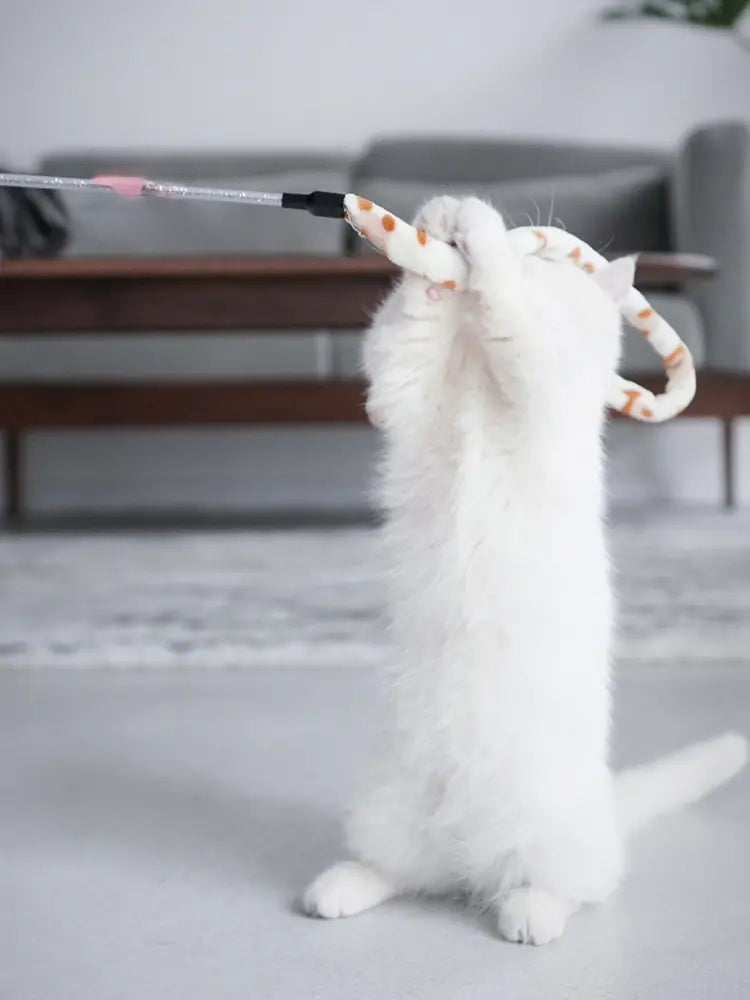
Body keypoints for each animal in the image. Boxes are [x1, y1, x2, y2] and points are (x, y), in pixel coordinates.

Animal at [302, 195, 748, 944]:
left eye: (549, 270)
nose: (525, 249)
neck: (477, 375)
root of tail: (467, 851)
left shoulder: (543, 374)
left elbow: (515, 317)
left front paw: (478, 235)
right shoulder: (405, 388)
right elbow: (407, 329)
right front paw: (437, 232)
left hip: (553, 840)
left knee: (570, 887)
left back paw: (529, 914)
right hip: (387, 806)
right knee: (406, 871)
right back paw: (336, 889)